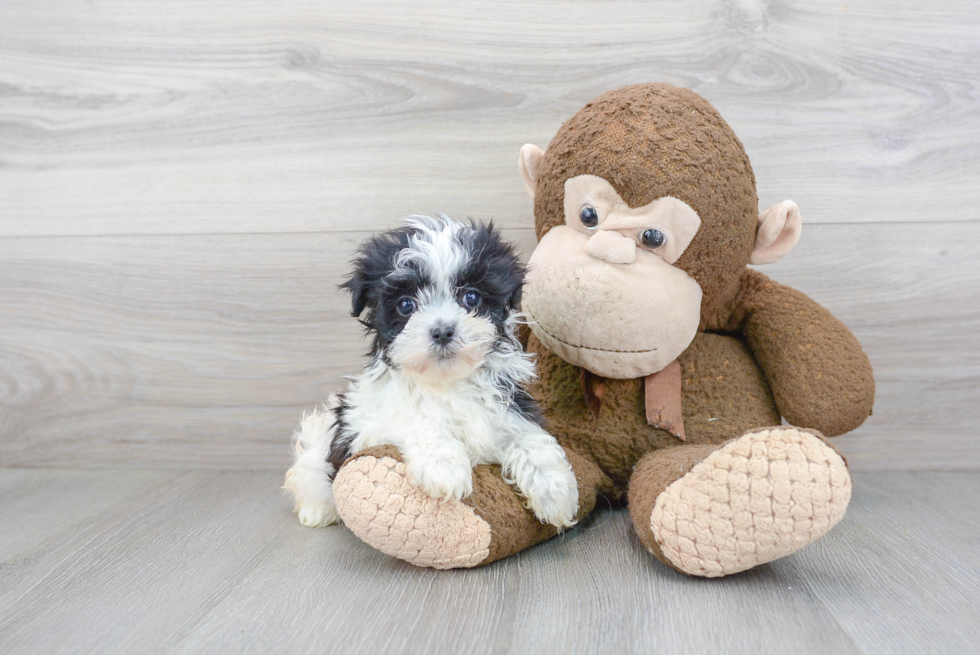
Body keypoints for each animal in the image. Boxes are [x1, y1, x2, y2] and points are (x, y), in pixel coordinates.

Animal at [280, 215, 580, 532]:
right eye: (406, 304)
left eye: (471, 297)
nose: (443, 331)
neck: (445, 382)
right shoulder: (365, 426)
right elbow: (417, 420)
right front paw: (444, 466)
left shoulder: (509, 409)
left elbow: (531, 438)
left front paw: (555, 490)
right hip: (321, 439)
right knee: (310, 470)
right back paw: (317, 510)